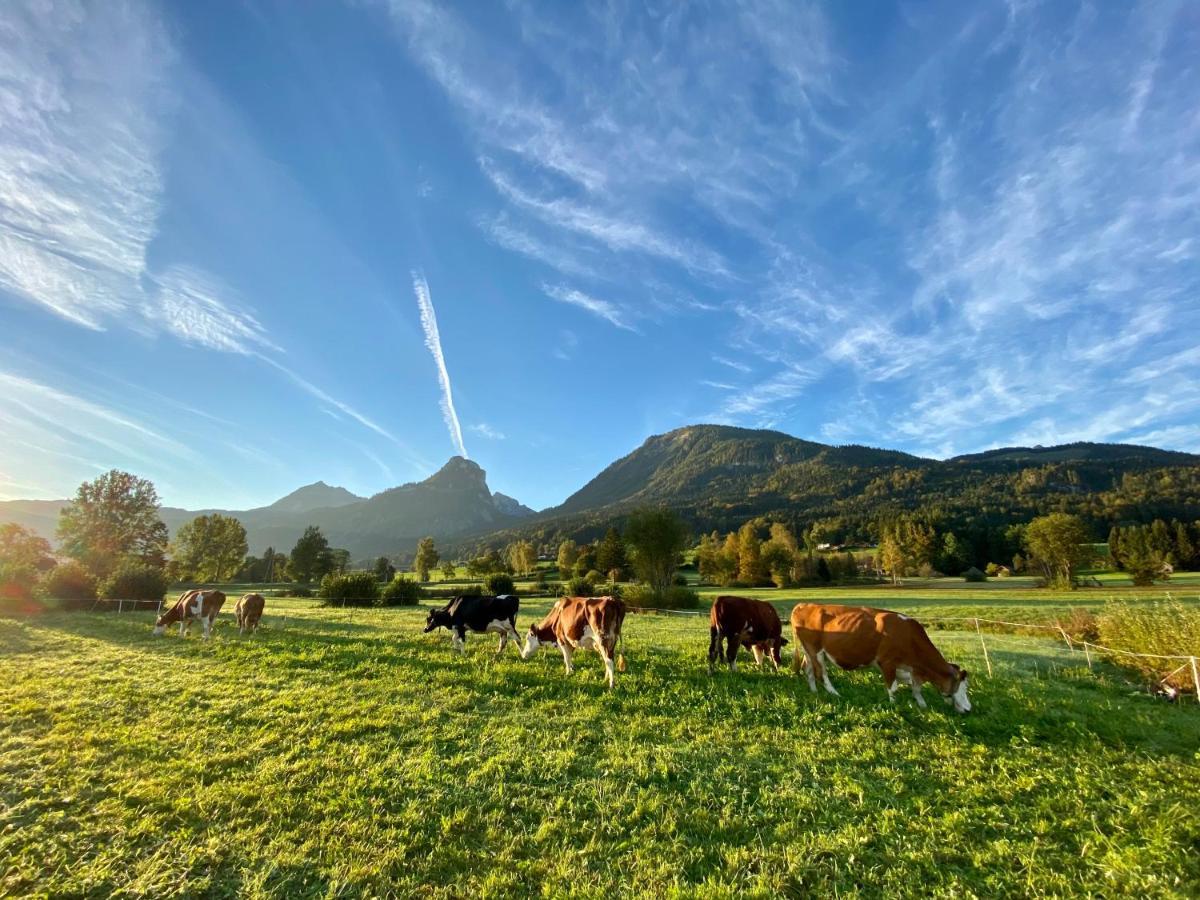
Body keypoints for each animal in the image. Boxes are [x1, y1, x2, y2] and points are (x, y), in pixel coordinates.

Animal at [787, 602, 974, 715]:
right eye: (962, 687)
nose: (968, 709)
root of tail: (805, 604)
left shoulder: (911, 669)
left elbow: (916, 688)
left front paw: (922, 705)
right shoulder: (888, 662)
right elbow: (893, 687)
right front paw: (894, 705)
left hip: (809, 651)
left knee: (808, 671)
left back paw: (814, 692)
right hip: (816, 651)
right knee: (821, 674)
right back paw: (836, 694)